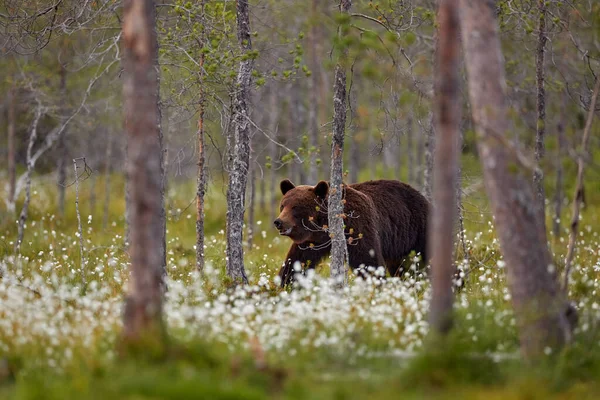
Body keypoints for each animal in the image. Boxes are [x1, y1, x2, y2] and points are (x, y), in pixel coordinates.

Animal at [272, 180, 432, 286]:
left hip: (417, 230)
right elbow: (296, 262)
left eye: (295, 207)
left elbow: (367, 261)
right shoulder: (312, 240)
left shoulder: (356, 227)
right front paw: (281, 285)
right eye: (283, 205)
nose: (278, 222)